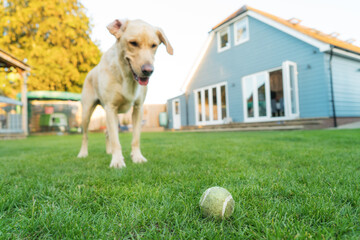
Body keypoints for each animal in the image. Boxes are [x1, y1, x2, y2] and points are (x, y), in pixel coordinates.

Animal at [77, 18, 173, 168]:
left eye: (154, 45)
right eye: (133, 43)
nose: (148, 70)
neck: (127, 77)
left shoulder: (138, 108)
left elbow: (135, 138)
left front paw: (137, 157)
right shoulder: (111, 107)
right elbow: (116, 140)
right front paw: (117, 161)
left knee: (107, 132)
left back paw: (109, 151)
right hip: (87, 112)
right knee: (85, 135)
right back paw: (83, 153)